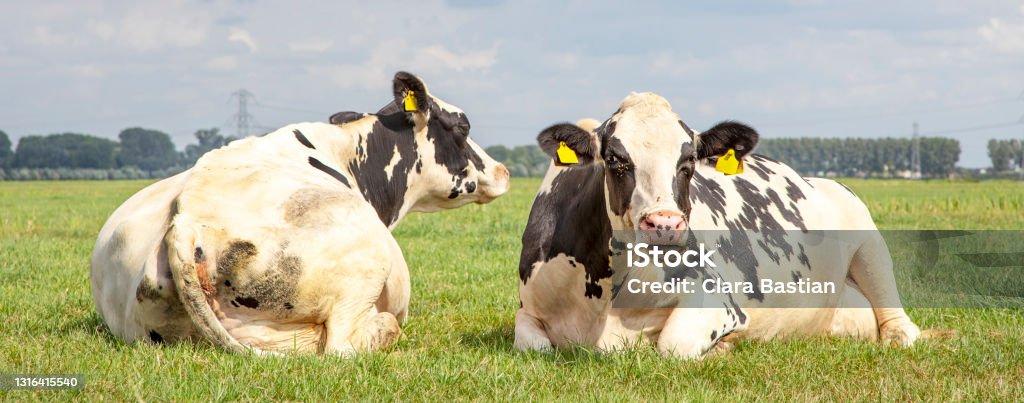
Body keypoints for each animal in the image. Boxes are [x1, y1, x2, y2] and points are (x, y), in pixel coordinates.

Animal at [515, 92, 921, 359]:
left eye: (688, 162)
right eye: (615, 159)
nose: (664, 224)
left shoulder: (717, 297)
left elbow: (674, 344)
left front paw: (722, 346)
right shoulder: (527, 311)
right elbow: (534, 345)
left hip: (869, 241)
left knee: (897, 319)